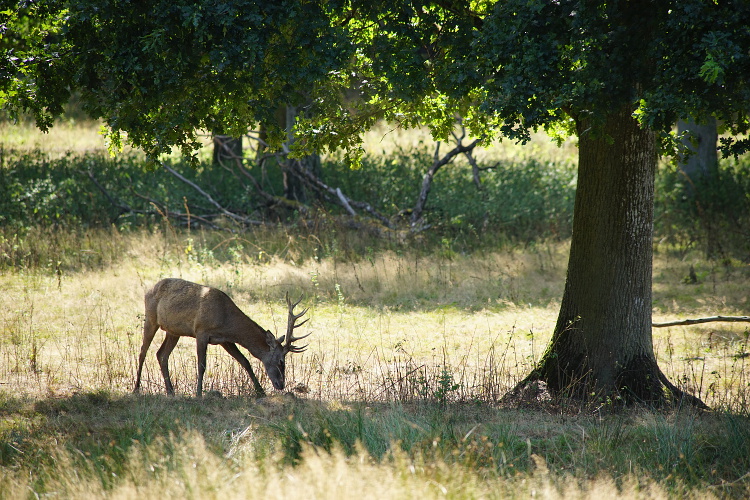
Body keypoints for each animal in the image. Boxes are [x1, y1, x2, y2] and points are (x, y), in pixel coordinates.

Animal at [134, 278, 310, 398]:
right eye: (281, 361)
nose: (281, 384)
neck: (226, 320)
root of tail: (149, 289)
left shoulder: (225, 340)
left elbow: (245, 361)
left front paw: (260, 391)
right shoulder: (201, 331)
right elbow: (202, 365)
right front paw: (199, 393)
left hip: (173, 331)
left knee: (161, 354)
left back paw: (170, 391)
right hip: (150, 318)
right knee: (143, 352)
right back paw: (136, 388)